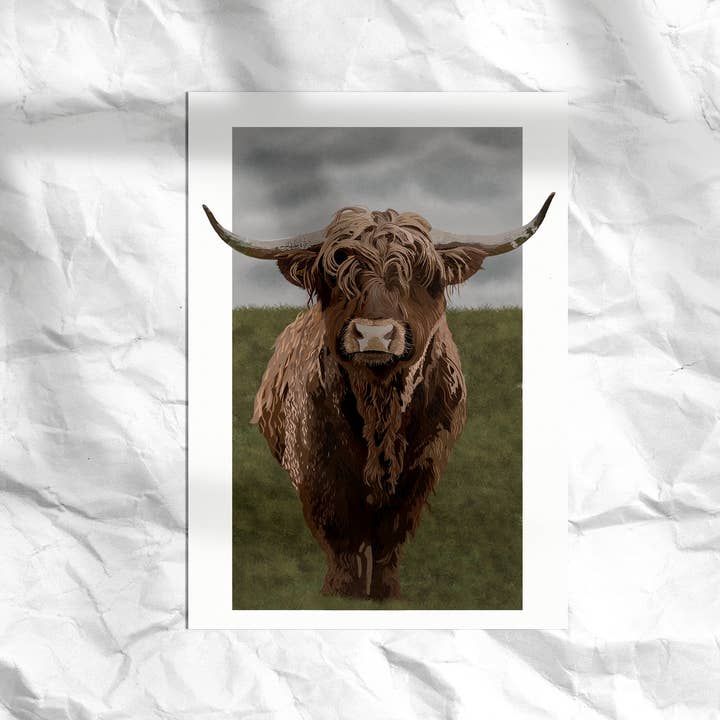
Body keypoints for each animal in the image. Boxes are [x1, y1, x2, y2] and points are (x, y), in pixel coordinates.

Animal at [203, 193, 554, 600]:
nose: (374, 335)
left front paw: (386, 594)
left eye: (423, 277)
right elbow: (342, 536)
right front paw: (341, 593)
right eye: (336, 277)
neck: (381, 409)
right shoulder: (317, 466)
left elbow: (391, 536)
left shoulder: (422, 468)